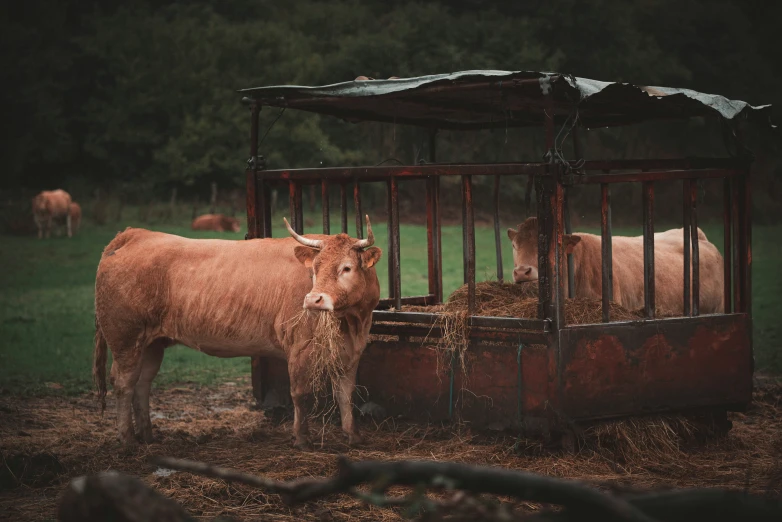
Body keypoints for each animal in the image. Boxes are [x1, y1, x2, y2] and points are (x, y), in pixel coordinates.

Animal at [95, 215, 382, 446]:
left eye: (346, 267)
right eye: (315, 268)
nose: (313, 300)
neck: (352, 322)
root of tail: (134, 234)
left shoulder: (352, 351)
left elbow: (345, 393)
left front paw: (353, 436)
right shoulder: (299, 347)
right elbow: (300, 394)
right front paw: (301, 439)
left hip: (151, 343)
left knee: (142, 383)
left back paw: (147, 436)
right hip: (125, 338)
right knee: (124, 382)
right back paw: (127, 440)